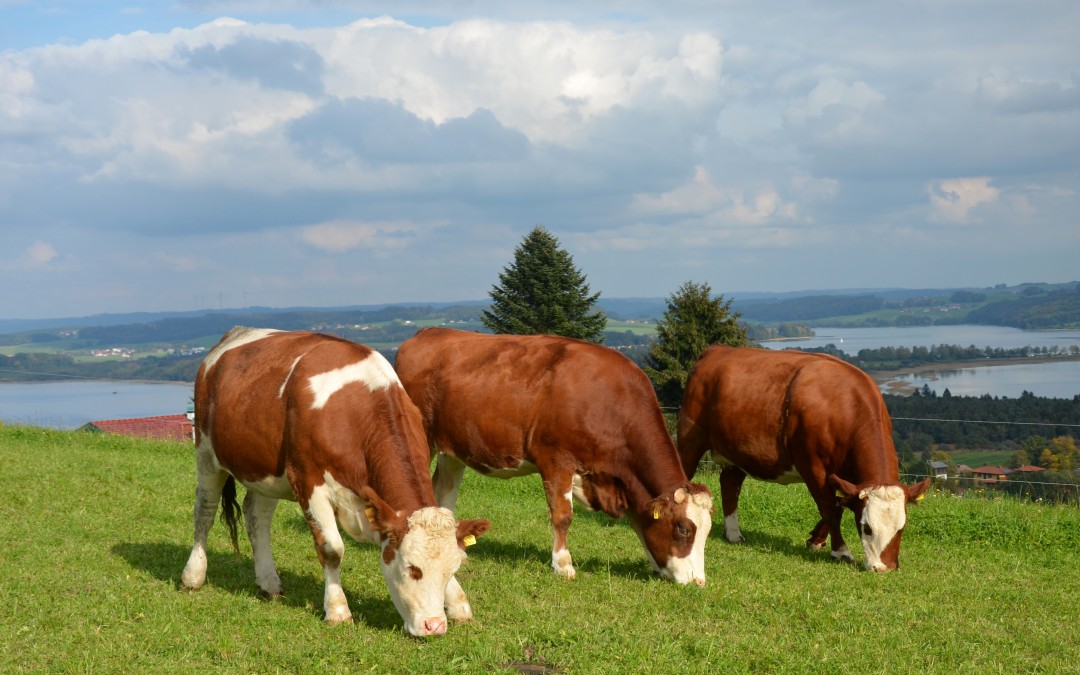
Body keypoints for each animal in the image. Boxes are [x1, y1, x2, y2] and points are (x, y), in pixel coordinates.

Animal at [180, 328, 490, 635]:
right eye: (411, 569)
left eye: (453, 569)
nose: (434, 625)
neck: (356, 415)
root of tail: (234, 335)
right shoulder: (308, 482)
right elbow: (332, 549)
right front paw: (338, 610)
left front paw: (458, 604)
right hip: (206, 452)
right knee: (204, 512)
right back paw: (193, 576)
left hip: (265, 471)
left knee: (257, 517)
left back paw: (269, 583)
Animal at [393, 326, 712, 583]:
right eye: (684, 529)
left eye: (707, 532)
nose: (698, 581)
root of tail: (427, 332)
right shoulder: (557, 461)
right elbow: (562, 516)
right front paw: (563, 565)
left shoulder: (624, 480)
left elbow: (637, 520)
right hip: (422, 439)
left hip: (453, 449)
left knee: (445, 492)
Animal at [678, 345, 933, 570]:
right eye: (867, 528)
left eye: (901, 528)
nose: (884, 568)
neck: (844, 408)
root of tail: (716, 350)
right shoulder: (813, 466)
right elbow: (831, 509)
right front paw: (841, 551)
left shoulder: (846, 478)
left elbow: (838, 503)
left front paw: (816, 540)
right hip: (691, 436)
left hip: (736, 450)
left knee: (730, 485)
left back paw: (733, 533)